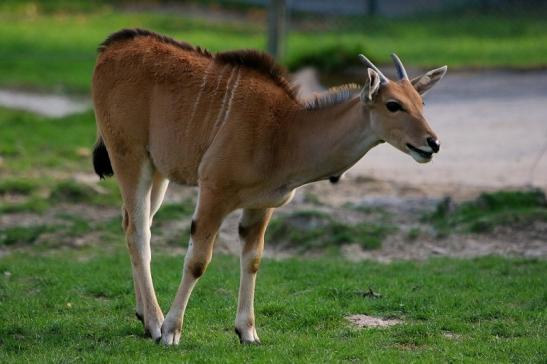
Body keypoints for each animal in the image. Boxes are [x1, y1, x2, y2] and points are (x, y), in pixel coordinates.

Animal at [91, 28, 450, 344]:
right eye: (393, 105)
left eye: (421, 104)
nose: (432, 143)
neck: (284, 132)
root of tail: (110, 48)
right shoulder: (214, 193)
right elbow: (197, 261)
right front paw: (171, 332)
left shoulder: (260, 206)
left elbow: (252, 259)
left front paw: (247, 332)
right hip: (129, 156)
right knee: (139, 231)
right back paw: (154, 323)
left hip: (158, 172)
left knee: (133, 224)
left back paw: (143, 315)